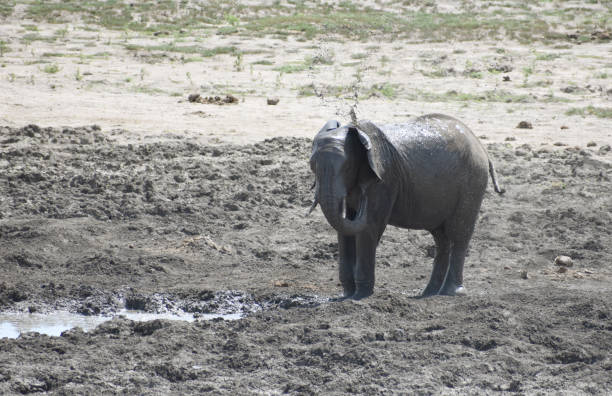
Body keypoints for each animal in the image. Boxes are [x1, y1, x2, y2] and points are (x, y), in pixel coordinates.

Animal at [308, 113, 504, 300]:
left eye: (347, 167)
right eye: (312, 165)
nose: (362, 201)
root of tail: (481, 146)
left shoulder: (384, 180)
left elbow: (370, 226)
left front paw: (359, 297)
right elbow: (344, 232)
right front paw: (346, 296)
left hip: (472, 182)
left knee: (459, 234)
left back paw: (451, 292)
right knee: (441, 238)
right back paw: (429, 293)